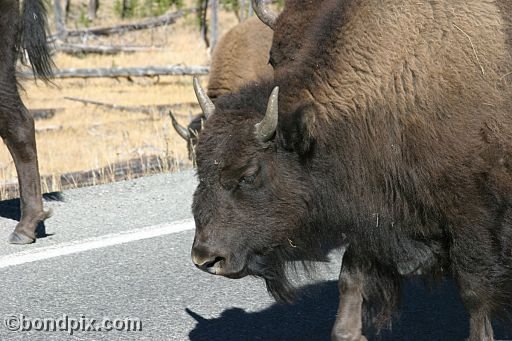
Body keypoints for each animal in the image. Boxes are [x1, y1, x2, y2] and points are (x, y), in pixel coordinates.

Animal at [190, 0, 512, 338]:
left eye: (249, 175)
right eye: (200, 170)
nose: (205, 258)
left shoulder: (471, 217)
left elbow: (474, 292)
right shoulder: (372, 216)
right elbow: (350, 275)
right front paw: (348, 331)